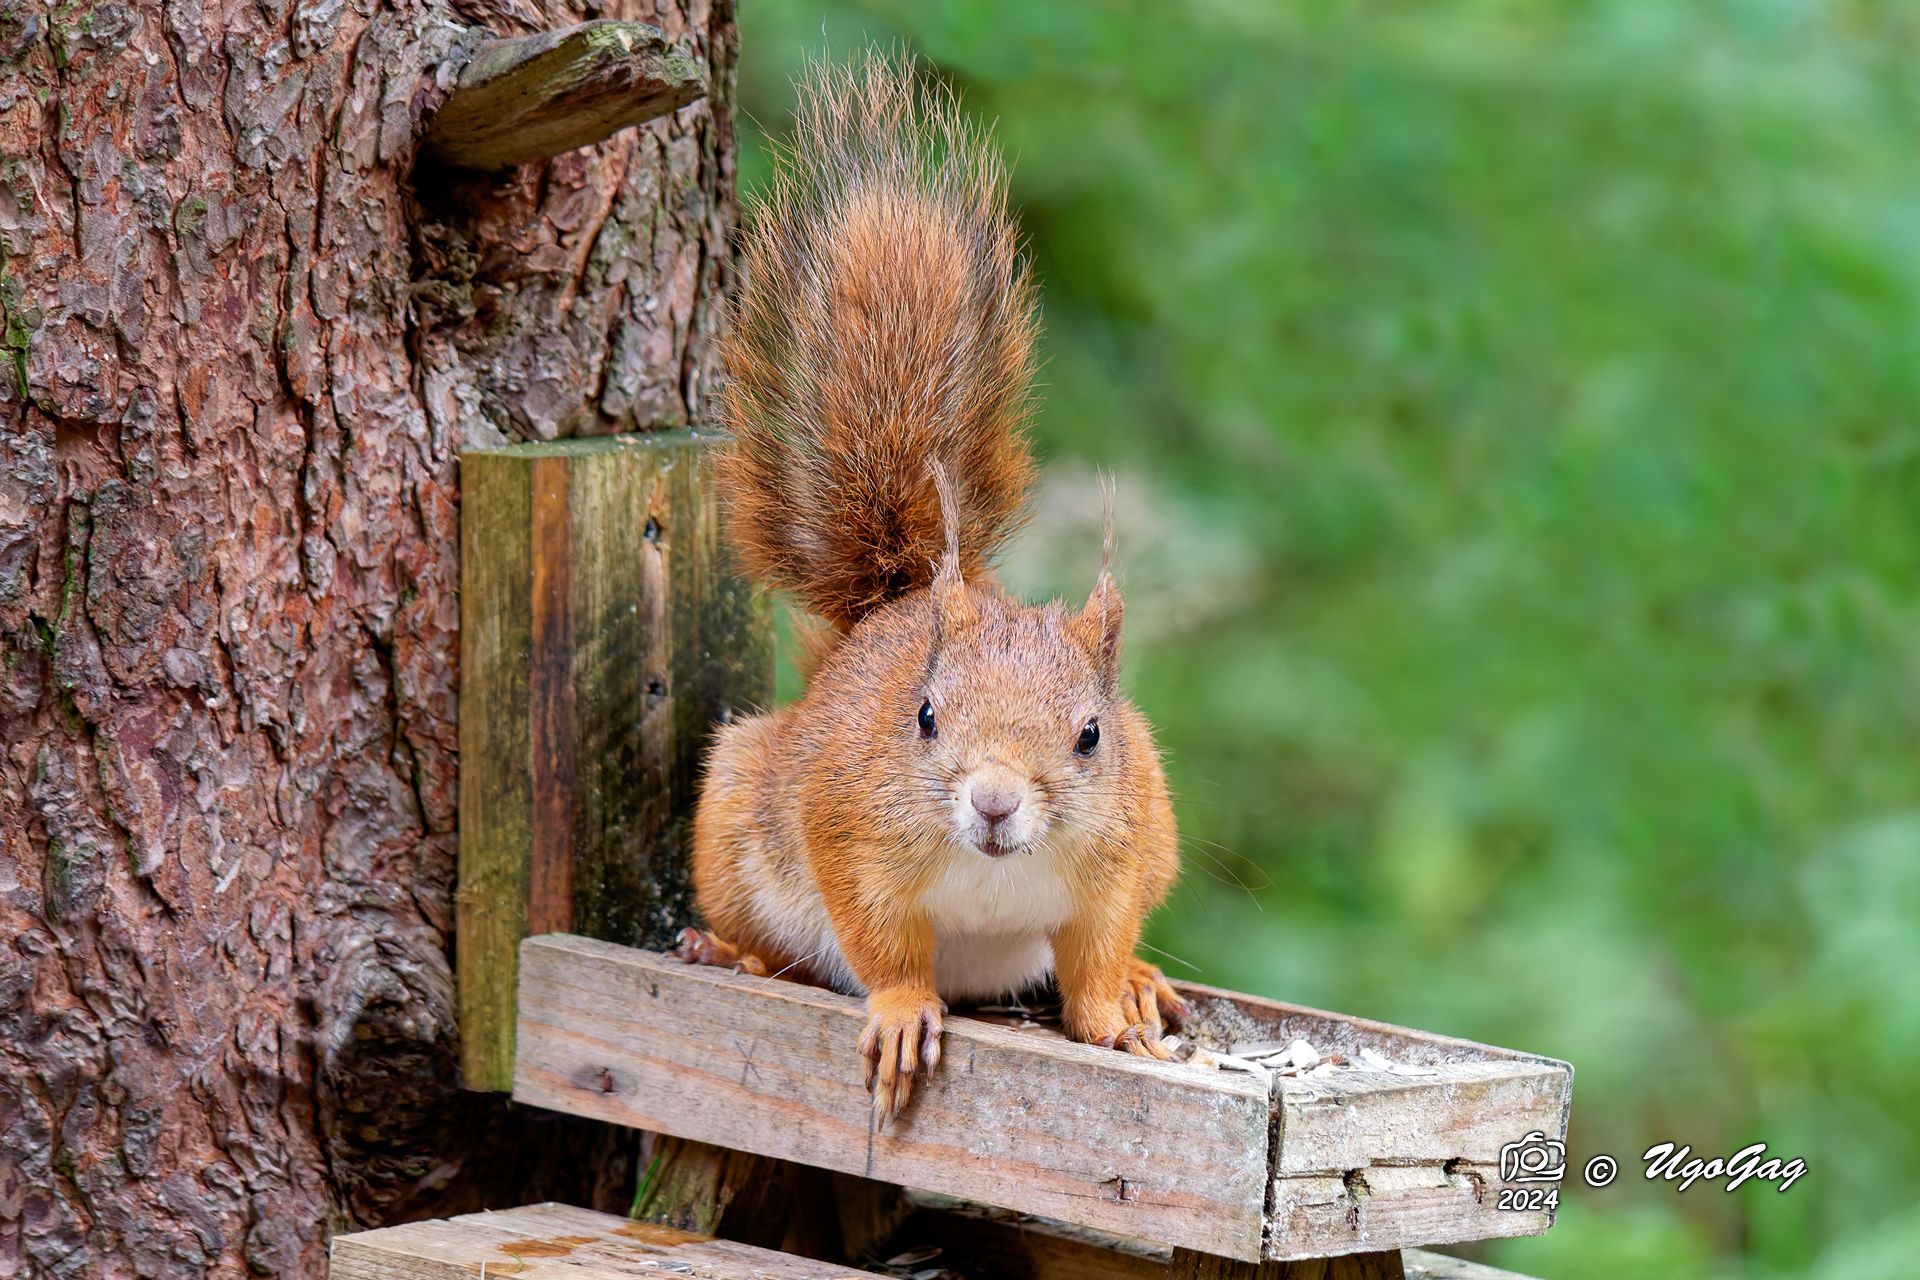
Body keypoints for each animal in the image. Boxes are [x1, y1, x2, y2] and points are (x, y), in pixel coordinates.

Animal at [676, 53, 1186, 1121]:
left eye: (1091, 734)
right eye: (922, 717)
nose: (992, 803)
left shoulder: (1122, 855)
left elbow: (1093, 952)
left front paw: (1113, 1016)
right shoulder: (851, 836)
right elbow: (883, 946)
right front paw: (908, 1010)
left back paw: (1145, 981)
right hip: (737, 817)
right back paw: (732, 954)